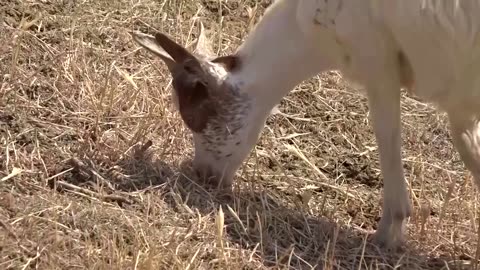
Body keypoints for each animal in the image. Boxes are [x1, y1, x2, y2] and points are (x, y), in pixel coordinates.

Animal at [130, 0, 480, 249]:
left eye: (196, 116)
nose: (204, 175)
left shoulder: (377, 59)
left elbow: (387, 133)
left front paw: (386, 235)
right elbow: (468, 145)